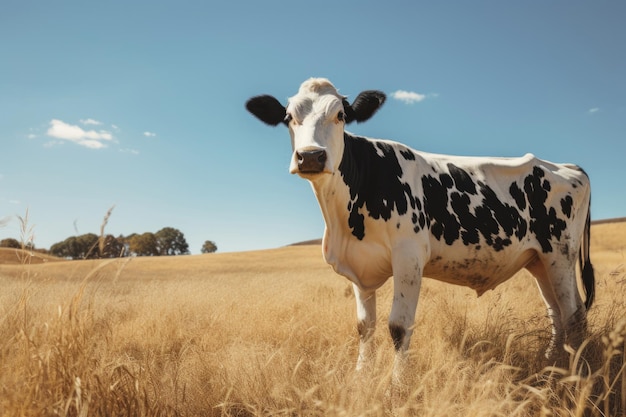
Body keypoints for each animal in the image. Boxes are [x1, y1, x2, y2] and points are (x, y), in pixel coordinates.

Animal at [243, 76, 588, 376]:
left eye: (340, 115)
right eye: (289, 117)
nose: (311, 156)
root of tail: (565, 166)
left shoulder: (409, 257)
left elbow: (398, 326)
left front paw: (397, 383)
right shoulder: (359, 265)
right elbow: (364, 326)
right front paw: (361, 375)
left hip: (560, 256)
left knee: (572, 314)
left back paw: (575, 372)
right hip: (538, 261)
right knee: (558, 313)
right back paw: (553, 363)